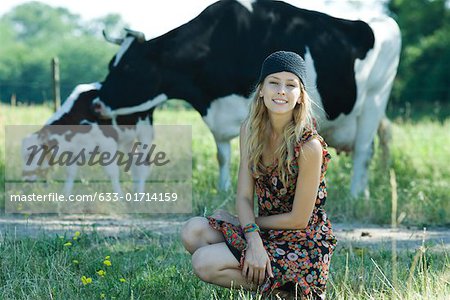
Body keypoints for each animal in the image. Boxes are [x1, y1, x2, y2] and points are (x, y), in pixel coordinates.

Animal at [22, 82, 154, 195]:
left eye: (31, 155)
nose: (26, 178)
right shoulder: (74, 149)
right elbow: (70, 173)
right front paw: (65, 197)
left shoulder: (107, 143)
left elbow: (112, 173)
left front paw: (120, 198)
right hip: (128, 138)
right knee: (135, 161)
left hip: (145, 130)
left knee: (144, 164)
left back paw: (140, 196)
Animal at [94, 0, 400, 197]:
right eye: (110, 63)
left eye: (129, 67)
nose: (97, 103)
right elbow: (223, 155)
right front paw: (223, 190)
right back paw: (364, 193)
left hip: (375, 99)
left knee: (363, 151)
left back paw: (355, 195)